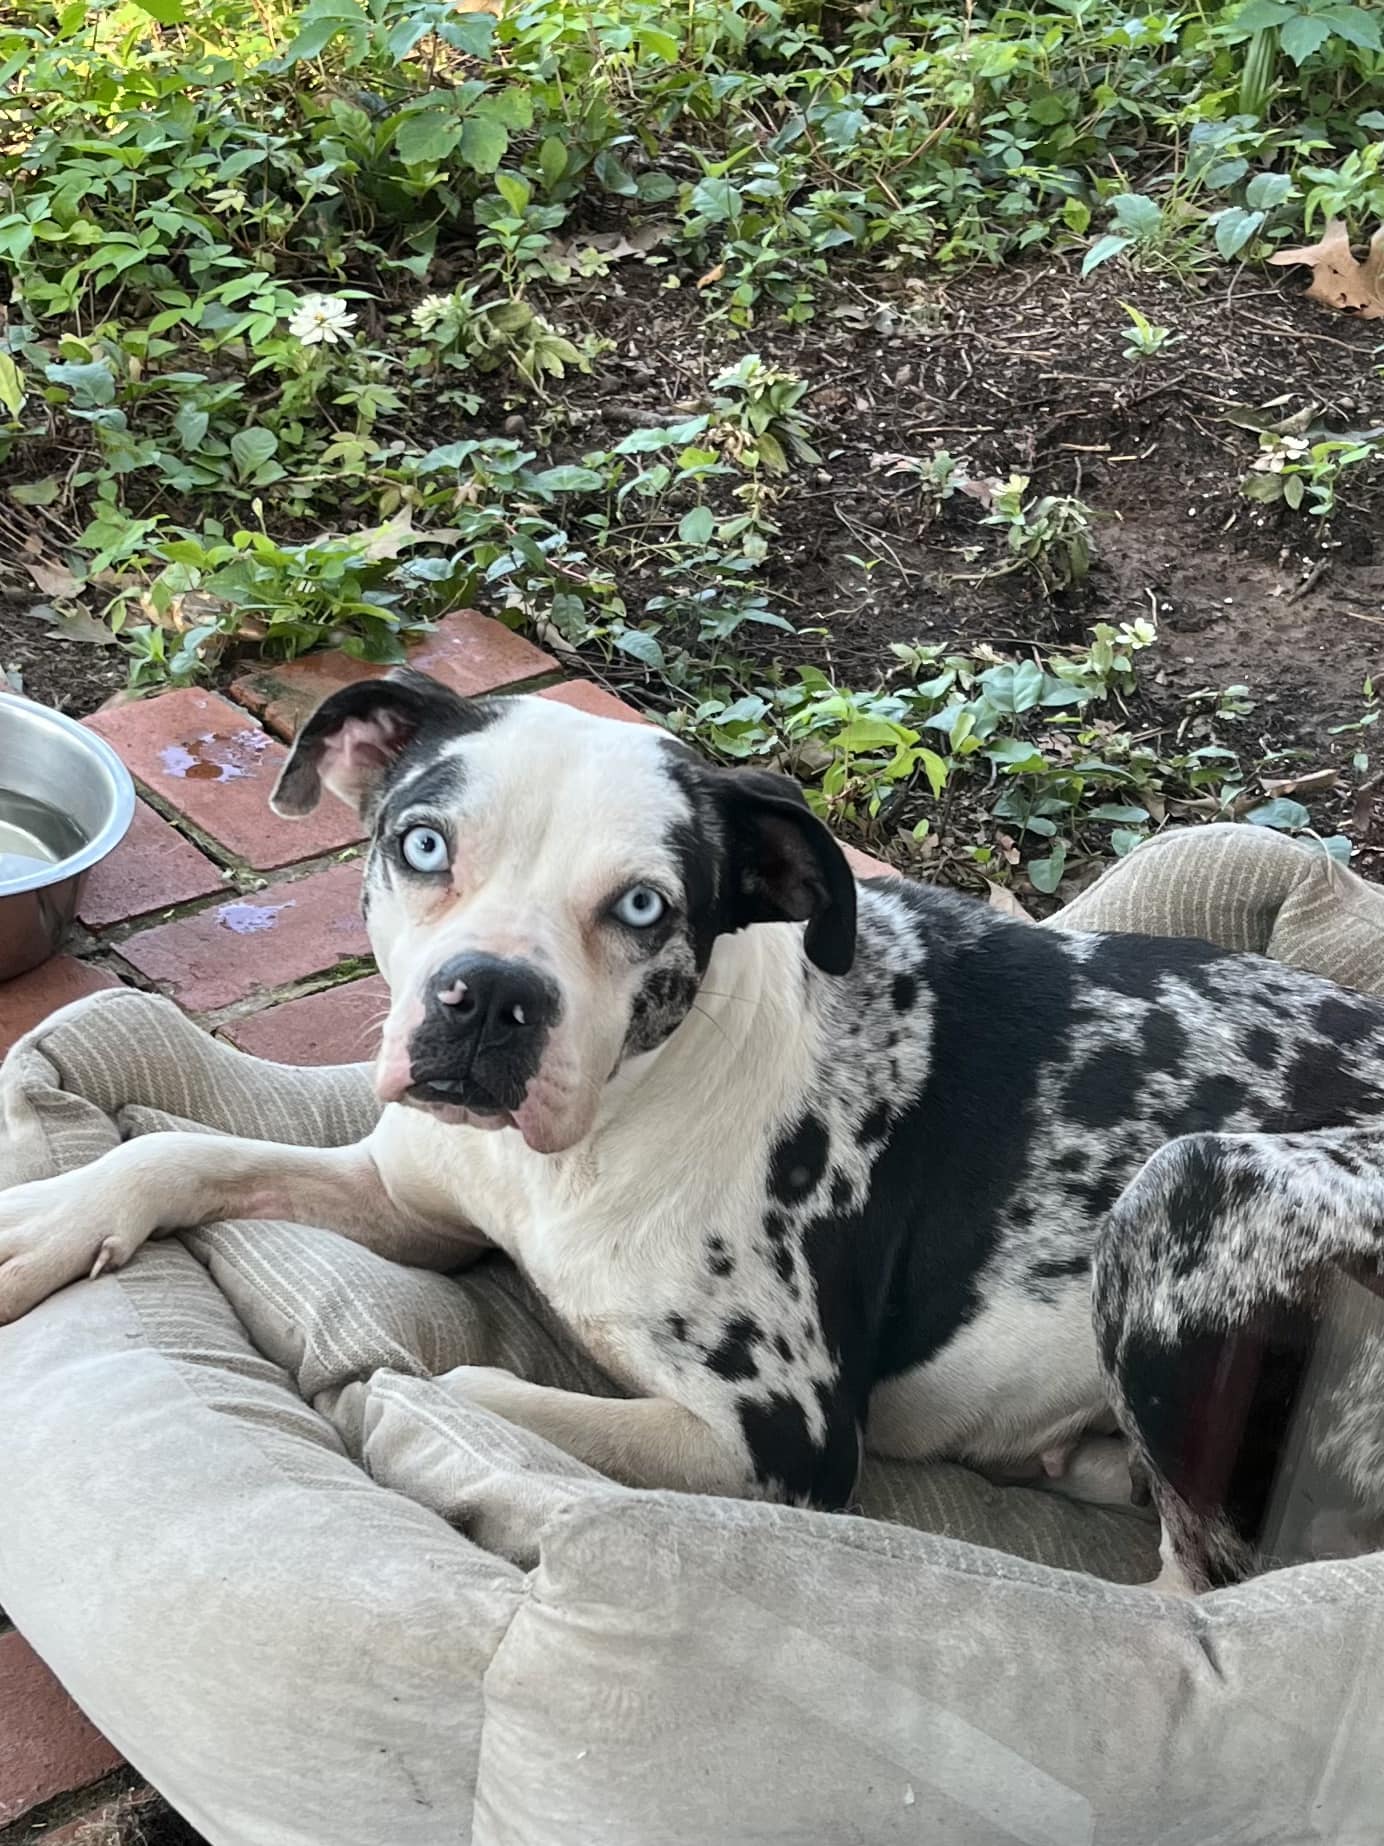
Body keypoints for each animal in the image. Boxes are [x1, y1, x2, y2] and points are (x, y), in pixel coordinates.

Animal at [2, 671, 1384, 1594]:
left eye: (644, 906)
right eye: (423, 843)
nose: (488, 997)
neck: (595, 1134)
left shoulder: (775, 1438)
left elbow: (458, 1385)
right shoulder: (410, 1196)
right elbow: (179, 1149)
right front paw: (47, 1219)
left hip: (1192, 1187)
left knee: (1198, 1598)